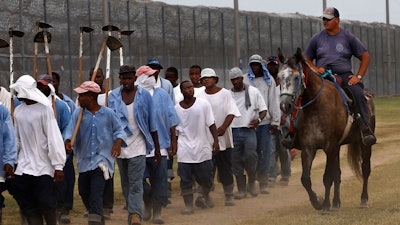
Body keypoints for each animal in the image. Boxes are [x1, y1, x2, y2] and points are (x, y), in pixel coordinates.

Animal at [278, 48, 376, 213]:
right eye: (279, 77)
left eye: (297, 77)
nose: (285, 105)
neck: (316, 107)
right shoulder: (309, 148)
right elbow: (306, 179)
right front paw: (318, 201)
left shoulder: (330, 146)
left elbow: (327, 177)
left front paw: (324, 205)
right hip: (338, 147)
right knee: (338, 173)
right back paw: (336, 203)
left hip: (364, 144)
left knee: (365, 169)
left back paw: (363, 200)